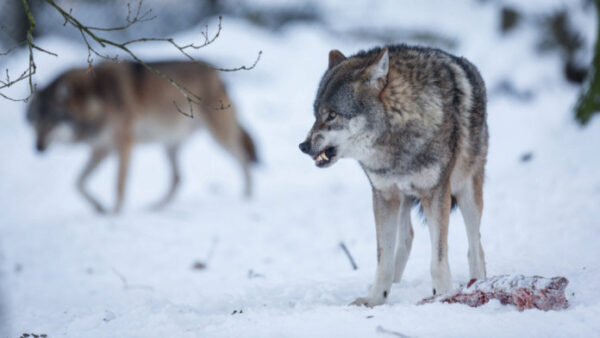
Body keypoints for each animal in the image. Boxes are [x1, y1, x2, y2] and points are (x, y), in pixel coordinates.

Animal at [27, 60, 256, 214]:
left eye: (52, 121)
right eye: (35, 121)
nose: (37, 148)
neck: (96, 98)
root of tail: (217, 74)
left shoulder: (124, 145)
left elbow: (118, 185)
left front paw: (115, 213)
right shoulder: (101, 149)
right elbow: (78, 183)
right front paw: (99, 208)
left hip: (219, 137)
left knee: (244, 159)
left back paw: (248, 196)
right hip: (169, 145)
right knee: (178, 178)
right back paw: (156, 207)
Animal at [298, 44, 488, 306]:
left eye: (332, 115)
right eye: (316, 114)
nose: (303, 146)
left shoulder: (436, 194)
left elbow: (438, 260)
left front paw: (442, 295)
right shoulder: (384, 195)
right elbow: (383, 259)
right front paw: (376, 299)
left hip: (467, 192)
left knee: (475, 244)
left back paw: (478, 282)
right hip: (403, 198)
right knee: (407, 237)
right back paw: (397, 285)